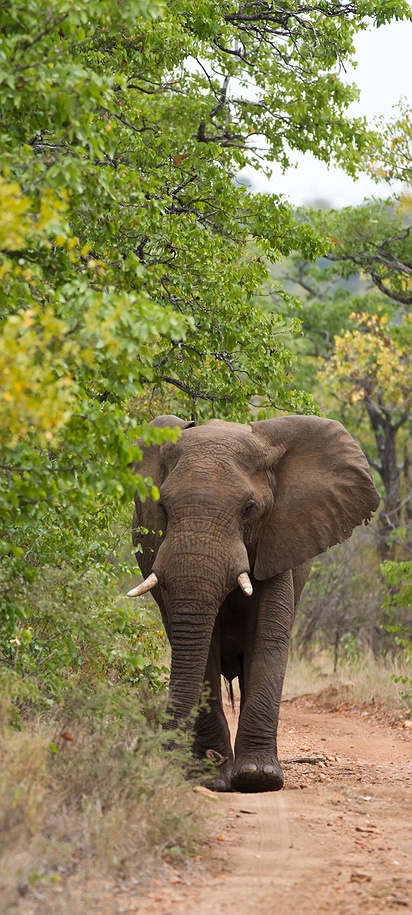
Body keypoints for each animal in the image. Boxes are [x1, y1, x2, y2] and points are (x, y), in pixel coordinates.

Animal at [128, 414, 379, 793]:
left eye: (249, 509)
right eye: (161, 507)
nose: (166, 759)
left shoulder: (281, 537)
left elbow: (267, 635)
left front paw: (258, 778)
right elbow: (201, 644)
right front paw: (211, 778)